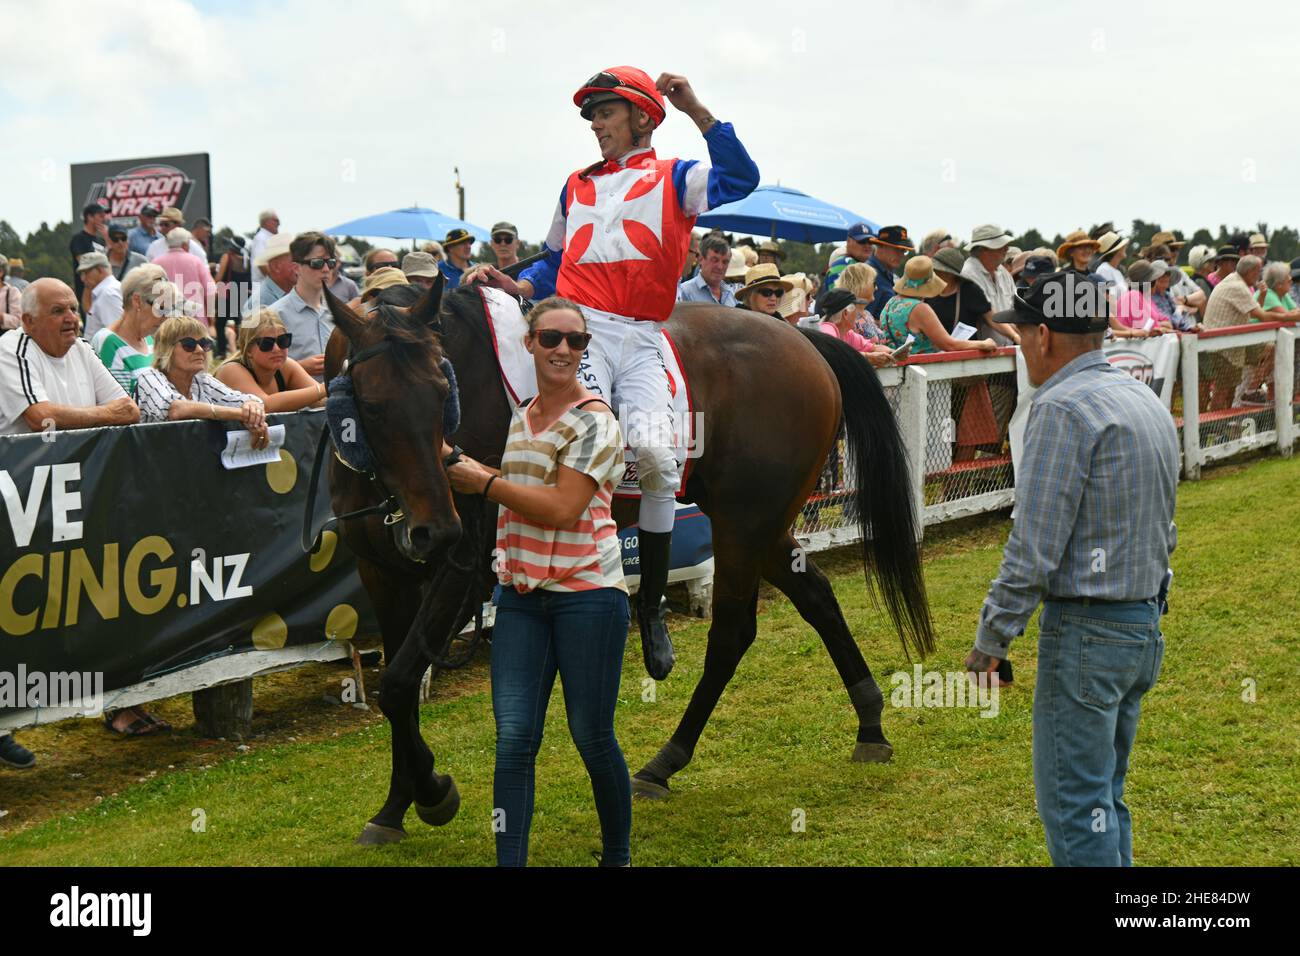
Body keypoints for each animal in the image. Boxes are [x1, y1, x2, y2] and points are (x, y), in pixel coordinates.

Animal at [325, 277, 935, 842]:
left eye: (440, 390)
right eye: (372, 406)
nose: (437, 528)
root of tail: (800, 337)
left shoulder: (467, 570)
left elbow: (398, 683)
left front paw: (431, 792)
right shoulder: (384, 576)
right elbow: (400, 688)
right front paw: (396, 804)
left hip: (744, 523)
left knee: (732, 631)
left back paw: (666, 757)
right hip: (761, 524)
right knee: (817, 597)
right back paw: (869, 723)